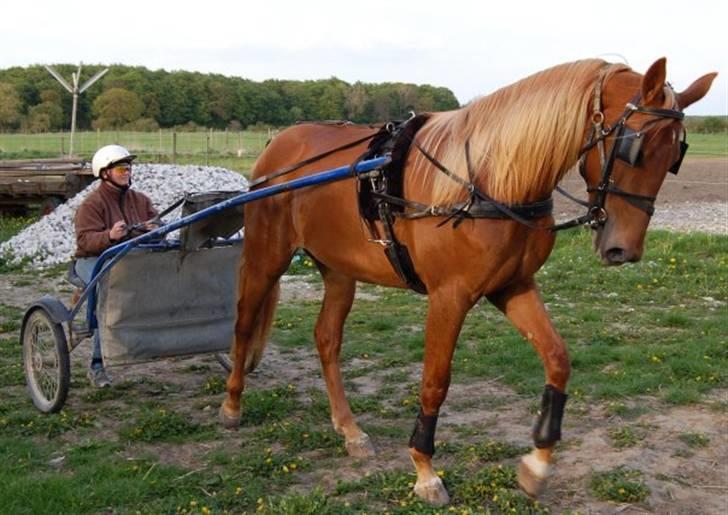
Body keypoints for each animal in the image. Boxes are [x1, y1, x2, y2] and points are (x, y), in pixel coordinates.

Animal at [219, 59, 712, 504]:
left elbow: (557, 359)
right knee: (243, 323)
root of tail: (279, 145)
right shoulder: (449, 296)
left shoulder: (513, 286)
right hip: (267, 256)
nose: (622, 249)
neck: (489, 179)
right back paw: (232, 405)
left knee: (326, 339)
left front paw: (537, 464)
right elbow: (435, 381)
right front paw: (424, 470)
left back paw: (349, 429)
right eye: (634, 146)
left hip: (339, 270)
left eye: (675, 156)